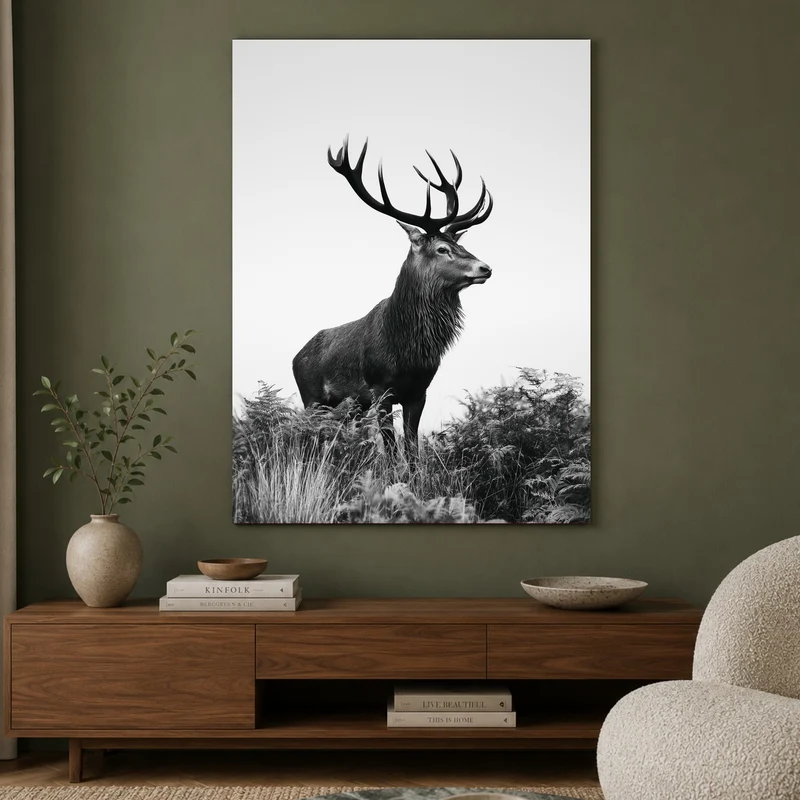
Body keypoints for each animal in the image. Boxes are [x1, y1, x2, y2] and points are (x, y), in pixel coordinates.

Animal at [292, 136, 494, 460]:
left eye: (460, 245)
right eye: (441, 249)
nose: (485, 268)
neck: (406, 348)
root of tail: (296, 356)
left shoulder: (418, 392)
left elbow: (411, 449)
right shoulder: (380, 389)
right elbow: (390, 449)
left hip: (351, 408)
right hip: (311, 398)